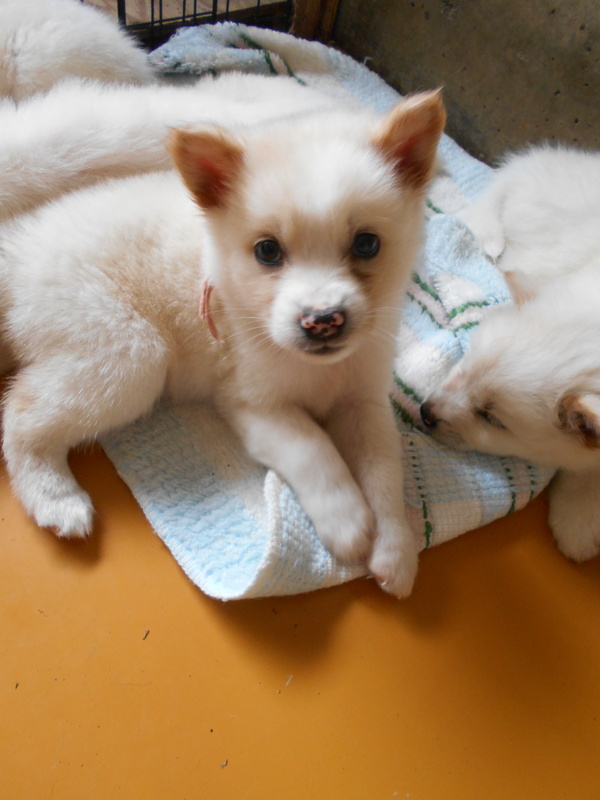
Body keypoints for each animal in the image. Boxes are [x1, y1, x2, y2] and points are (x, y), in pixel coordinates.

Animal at [0, 72, 445, 597]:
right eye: (268, 251)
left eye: (367, 244)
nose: (322, 320)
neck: (318, 370)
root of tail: (17, 245)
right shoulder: (255, 404)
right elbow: (315, 450)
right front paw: (349, 521)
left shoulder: (364, 404)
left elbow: (384, 473)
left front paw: (395, 549)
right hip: (129, 355)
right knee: (21, 414)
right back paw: (56, 499)